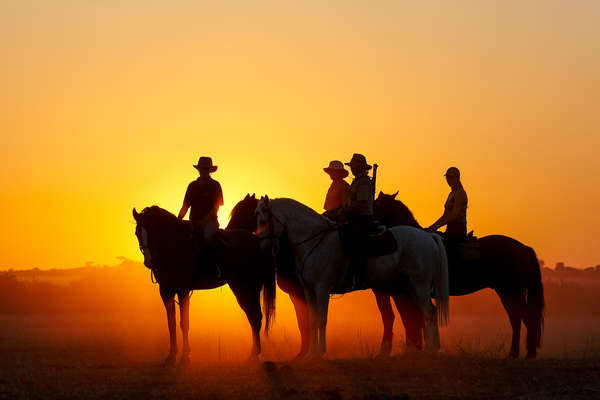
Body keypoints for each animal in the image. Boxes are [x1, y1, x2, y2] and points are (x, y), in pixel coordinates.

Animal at [227, 193, 424, 356]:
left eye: (251, 215)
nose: (228, 233)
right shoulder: (305, 291)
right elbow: (310, 320)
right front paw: (309, 353)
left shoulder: (317, 289)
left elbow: (314, 320)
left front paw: (317, 353)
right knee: (402, 315)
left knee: (406, 315)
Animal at [372, 192, 548, 358]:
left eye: (377, 204)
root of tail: (524, 248)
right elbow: (414, 319)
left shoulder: (404, 292)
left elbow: (411, 319)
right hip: (512, 291)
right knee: (523, 318)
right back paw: (527, 353)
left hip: (509, 291)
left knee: (518, 318)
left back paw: (517, 353)